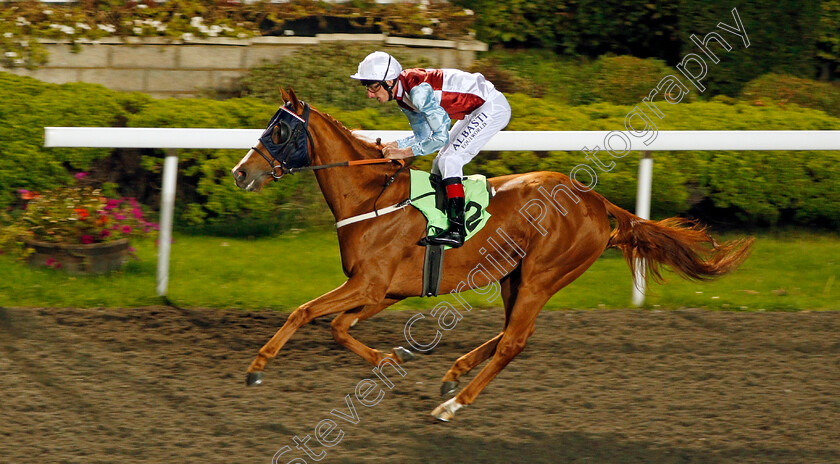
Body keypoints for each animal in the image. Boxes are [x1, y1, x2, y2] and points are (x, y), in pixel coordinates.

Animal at [230, 89, 756, 422]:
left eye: (279, 131)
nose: (240, 173)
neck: (371, 197)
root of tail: (595, 201)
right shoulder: (385, 291)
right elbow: (339, 327)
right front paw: (390, 357)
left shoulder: (369, 284)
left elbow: (304, 312)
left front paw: (257, 367)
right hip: (513, 276)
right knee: (511, 332)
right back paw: (453, 374)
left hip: (543, 276)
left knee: (514, 342)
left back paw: (452, 404)